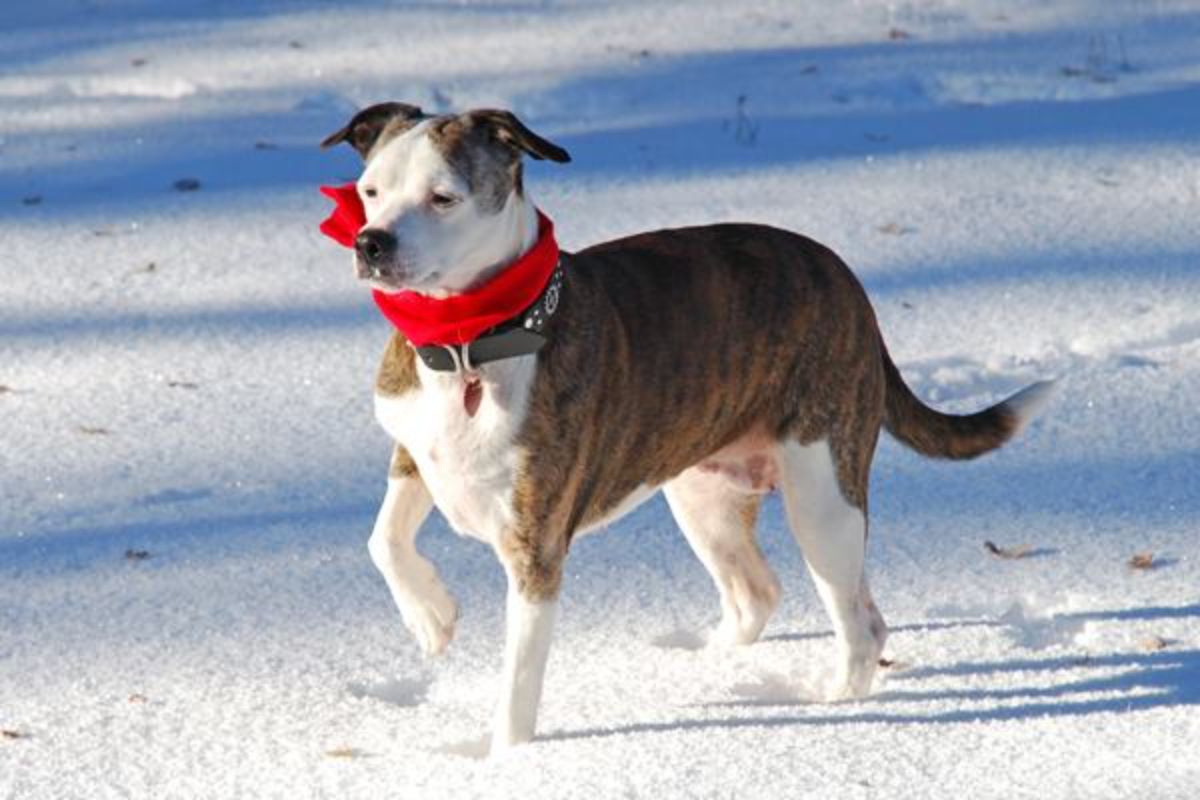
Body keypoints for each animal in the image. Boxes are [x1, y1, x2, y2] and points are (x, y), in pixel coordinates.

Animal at [316, 103, 1051, 753]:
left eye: (444, 197)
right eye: (370, 191)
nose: (370, 242)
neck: (473, 338)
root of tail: (845, 278)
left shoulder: (536, 545)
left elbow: (518, 681)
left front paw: (507, 759)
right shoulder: (415, 447)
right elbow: (384, 538)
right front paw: (431, 618)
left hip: (823, 492)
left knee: (858, 621)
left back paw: (835, 704)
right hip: (704, 497)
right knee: (759, 595)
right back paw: (702, 669)